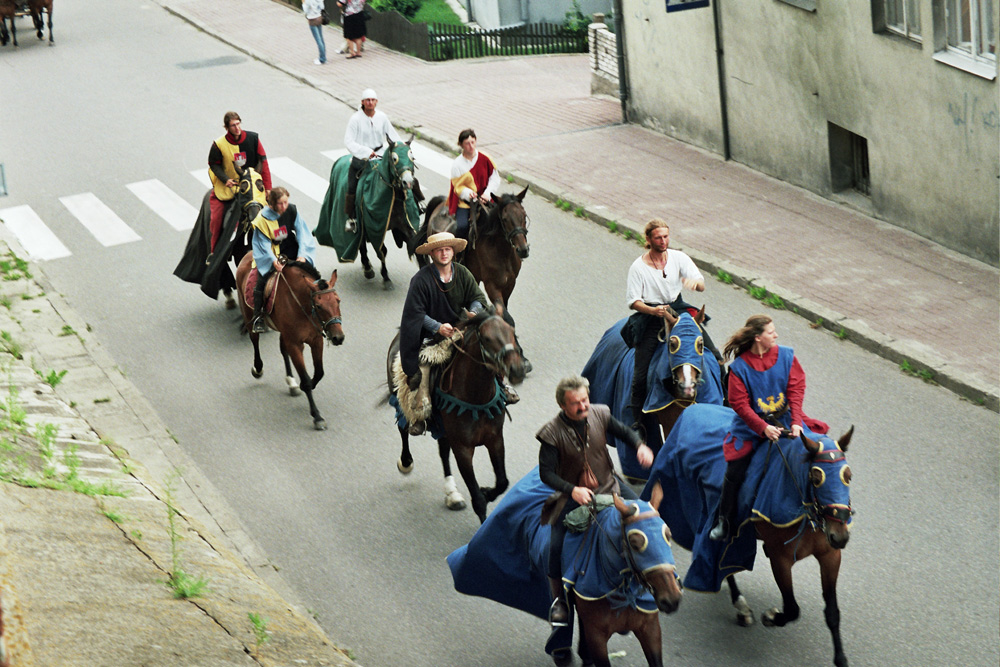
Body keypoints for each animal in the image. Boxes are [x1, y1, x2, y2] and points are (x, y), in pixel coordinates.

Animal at [236, 253, 346, 430]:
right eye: (319, 306)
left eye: (338, 300)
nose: (338, 337)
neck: (302, 304)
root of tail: (248, 254)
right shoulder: (295, 344)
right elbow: (306, 379)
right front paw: (317, 416)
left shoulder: (315, 340)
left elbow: (319, 372)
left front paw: (305, 384)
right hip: (248, 314)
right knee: (255, 340)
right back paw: (258, 368)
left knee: (282, 349)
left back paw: (291, 381)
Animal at [314, 138, 420, 290]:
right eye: (394, 158)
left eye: (412, 157)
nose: (408, 182)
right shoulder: (373, 227)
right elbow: (382, 251)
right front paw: (385, 277)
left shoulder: (405, 224)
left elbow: (416, 245)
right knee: (361, 244)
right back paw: (367, 267)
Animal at [382, 308, 528, 520]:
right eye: (486, 338)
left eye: (511, 330)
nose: (517, 370)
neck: (476, 397)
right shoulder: (463, 448)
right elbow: (478, 500)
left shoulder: (495, 439)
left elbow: (502, 482)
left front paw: (487, 491)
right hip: (401, 398)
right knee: (403, 427)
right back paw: (406, 462)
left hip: (443, 428)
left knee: (443, 451)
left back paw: (452, 494)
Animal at [644, 402, 856, 667]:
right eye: (816, 477)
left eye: (848, 475)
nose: (840, 536)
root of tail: (691, 410)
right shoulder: (779, 558)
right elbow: (792, 608)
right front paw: (771, 616)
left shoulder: (829, 555)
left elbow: (832, 612)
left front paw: (841, 658)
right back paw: (741, 604)